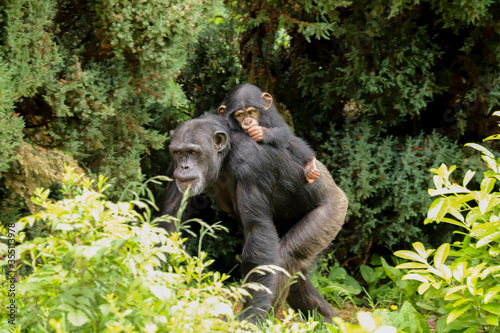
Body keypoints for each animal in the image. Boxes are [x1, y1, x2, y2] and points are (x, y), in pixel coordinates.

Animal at [164, 113, 348, 322]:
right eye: (178, 153)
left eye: (193, 152)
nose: (184, 167)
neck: (225, 156)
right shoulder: (172, 167)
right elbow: (170, 216)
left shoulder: (252, 163)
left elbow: (257, 230)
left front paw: (251, 318)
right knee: (295, 276)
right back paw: (330, 320)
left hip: (331, 213)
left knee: (285, 258)